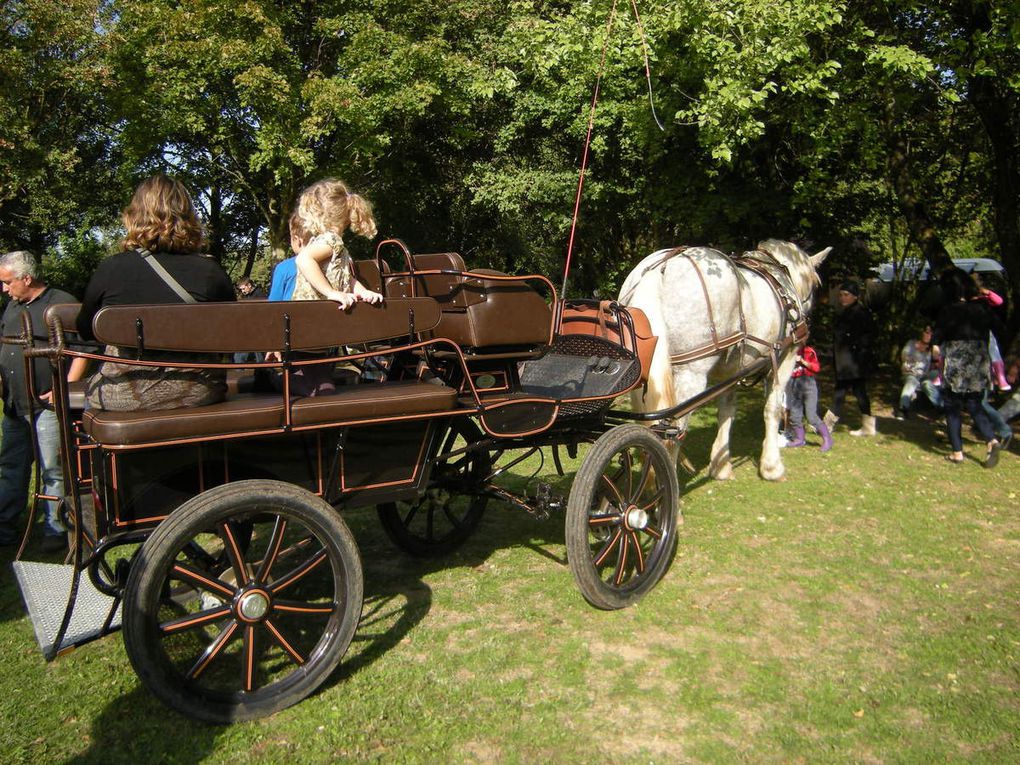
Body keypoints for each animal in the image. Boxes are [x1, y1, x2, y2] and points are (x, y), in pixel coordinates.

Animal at [616, 240, 832, 479]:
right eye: (816, 284)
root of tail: (660, 268)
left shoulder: (730, 373)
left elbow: (726, 412)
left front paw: (721, 465)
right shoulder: (786, 357)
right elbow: (772, 408)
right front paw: (771, 467)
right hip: (690, 375)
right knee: (670, 433)